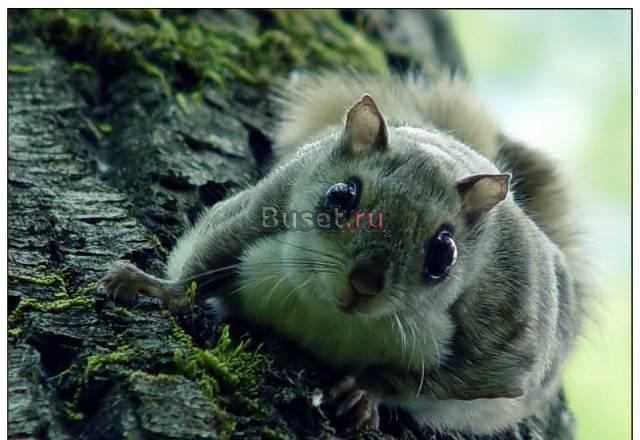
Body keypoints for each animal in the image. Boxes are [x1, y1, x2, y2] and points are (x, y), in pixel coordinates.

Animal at [102, 70, 587, 435]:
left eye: (444, 254)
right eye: (339, 196)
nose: (364, 283)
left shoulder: (502, 342)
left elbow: (435, 382)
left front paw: (364, 391)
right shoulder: (260, 211)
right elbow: (208, 259)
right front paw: (154, 288)